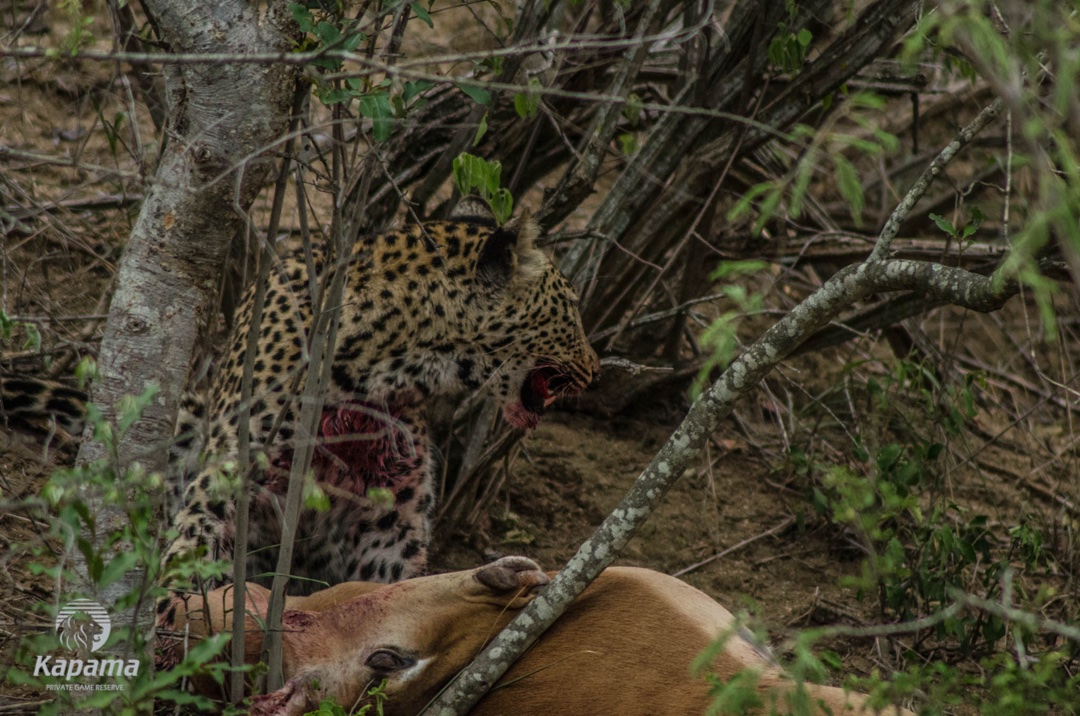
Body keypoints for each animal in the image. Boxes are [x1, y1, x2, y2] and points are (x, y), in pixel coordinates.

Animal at [1, 201, 599, 618]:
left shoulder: (388, 521)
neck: (385, 364)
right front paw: (173, 621)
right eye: (572, 308)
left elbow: (393, 586)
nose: (596, 369)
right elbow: (193, 546)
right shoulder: (230, 474)